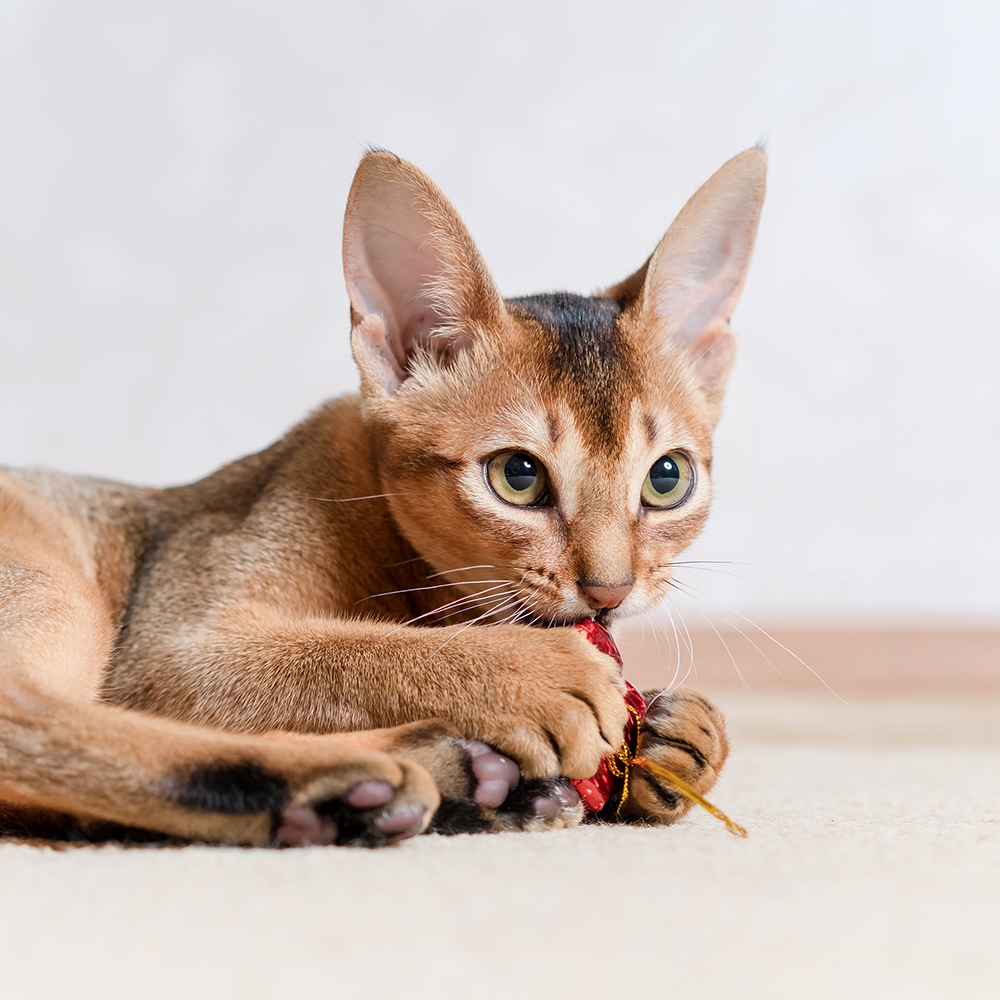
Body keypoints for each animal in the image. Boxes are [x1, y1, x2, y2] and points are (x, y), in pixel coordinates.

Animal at [0, 148, 764, 848]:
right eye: (518, 476)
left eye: (667, 478)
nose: (610, 591)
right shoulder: (172, 648)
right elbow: (351, 651)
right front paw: (534, 672)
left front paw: (685, 734)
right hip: (55, 583)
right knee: (23, 715)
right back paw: (335, 787)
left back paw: (464, 781)